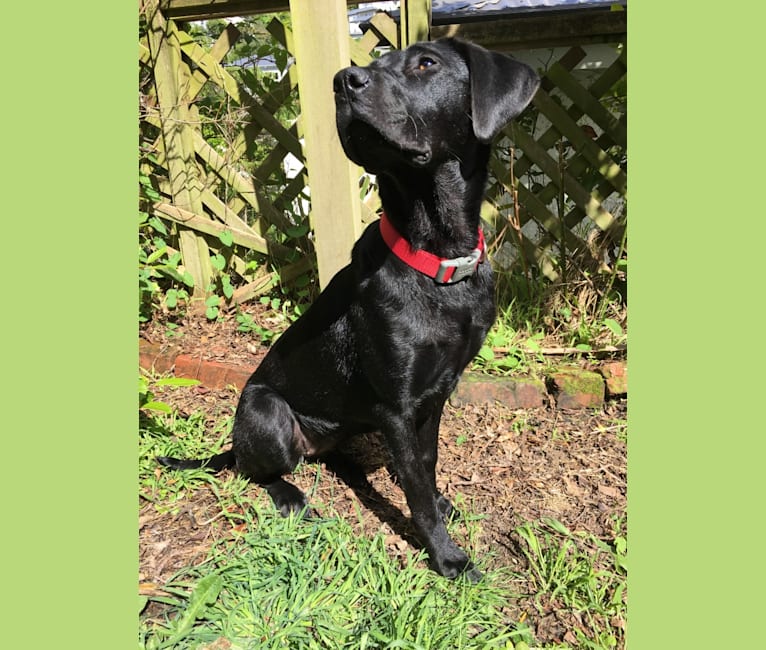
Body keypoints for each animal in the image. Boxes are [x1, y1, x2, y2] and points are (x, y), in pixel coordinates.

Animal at [158, 38, 536, 580]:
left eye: (427, 63)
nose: (343, 81)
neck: (436, 263)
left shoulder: (437, 393)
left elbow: (427, 464)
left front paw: (440, 501)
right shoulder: (397, 407)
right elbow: (416, 488)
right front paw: (447, 556)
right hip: (266, 410)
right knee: (255, 470)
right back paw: (291, 496)